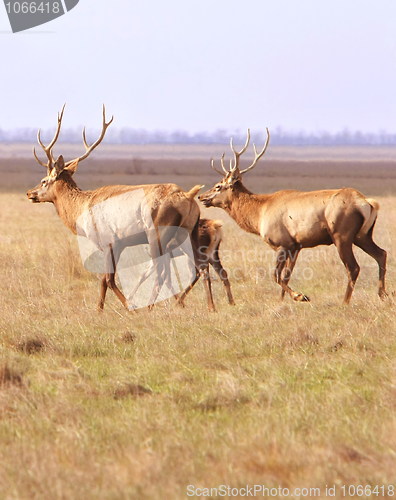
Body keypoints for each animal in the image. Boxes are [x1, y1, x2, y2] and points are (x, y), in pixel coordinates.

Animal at [27, 103, 217, 310]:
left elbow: (108, 279)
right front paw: (99, 309)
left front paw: (127, 306)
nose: (30, 193)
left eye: (44, 180)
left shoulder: (108, 241)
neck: (82, 210)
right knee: (201, 268)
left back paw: (150, 308)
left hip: (158, 233)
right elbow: (105, 280)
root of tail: (188, 196)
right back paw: (209, 307)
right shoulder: (118, 244)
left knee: (162, 271)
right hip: (189, 232)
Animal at [198, 128, 386, 304]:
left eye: (218, 186)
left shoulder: (283, 243)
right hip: (362, 235)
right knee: (381, 254)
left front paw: (300, 296)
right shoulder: (296, 246)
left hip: (342, 235)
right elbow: (286, 275)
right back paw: (383, 295)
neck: (259, 214)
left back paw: (345, 301)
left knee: (353, 267)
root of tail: (367, 203)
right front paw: (282, 301)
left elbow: (276, 275)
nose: (201, 197)